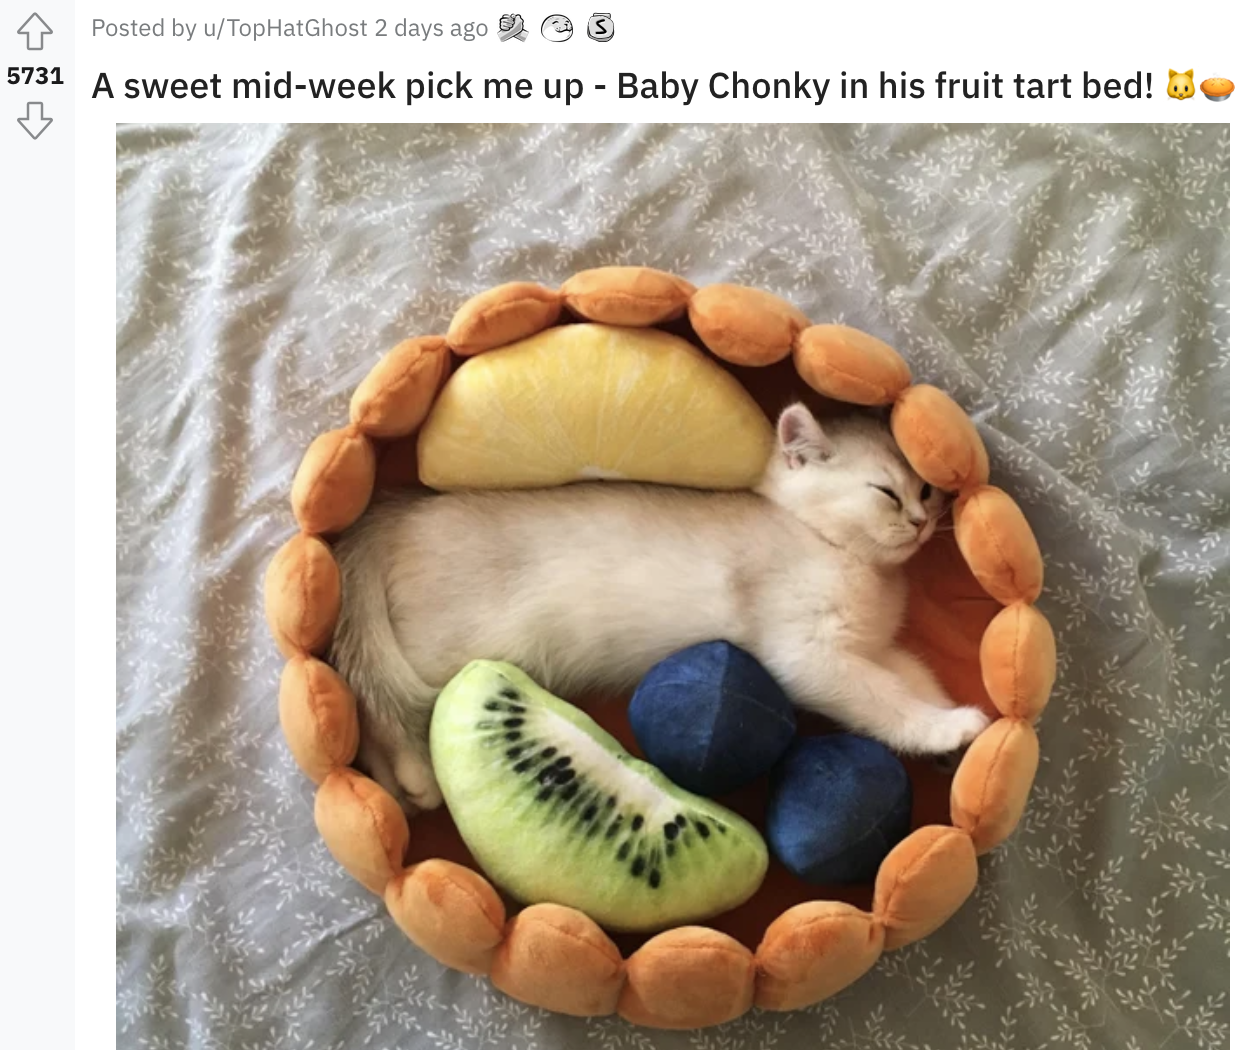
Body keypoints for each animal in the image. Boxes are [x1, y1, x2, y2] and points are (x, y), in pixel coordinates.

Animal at [331, 404, 989, 813]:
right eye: (886, 493)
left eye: (926, 489)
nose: (921, 522)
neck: (839, 554)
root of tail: (396, 512)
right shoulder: (809, 655)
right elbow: (883, 701)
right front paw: (942, 729)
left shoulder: (876, 646)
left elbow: (912, 678)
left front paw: (949, 733)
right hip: (435, 652)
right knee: (374, 699)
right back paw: (413, 776)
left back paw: (394, 790)